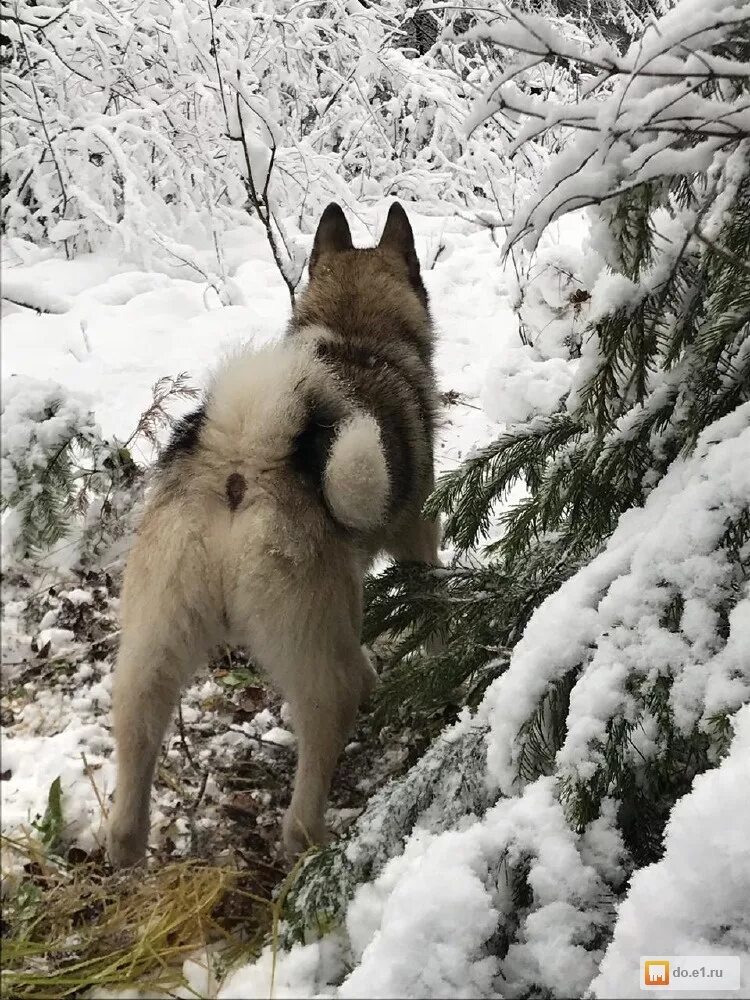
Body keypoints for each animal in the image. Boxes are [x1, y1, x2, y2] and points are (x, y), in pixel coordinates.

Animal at [108, 203, 444, 868]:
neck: (355, 332)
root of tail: (244, 460)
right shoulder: (417, 533)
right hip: (311, 649)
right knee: (322, 726)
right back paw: (309, 838)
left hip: (155, 639)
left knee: (137, 723)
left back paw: (125, 845)